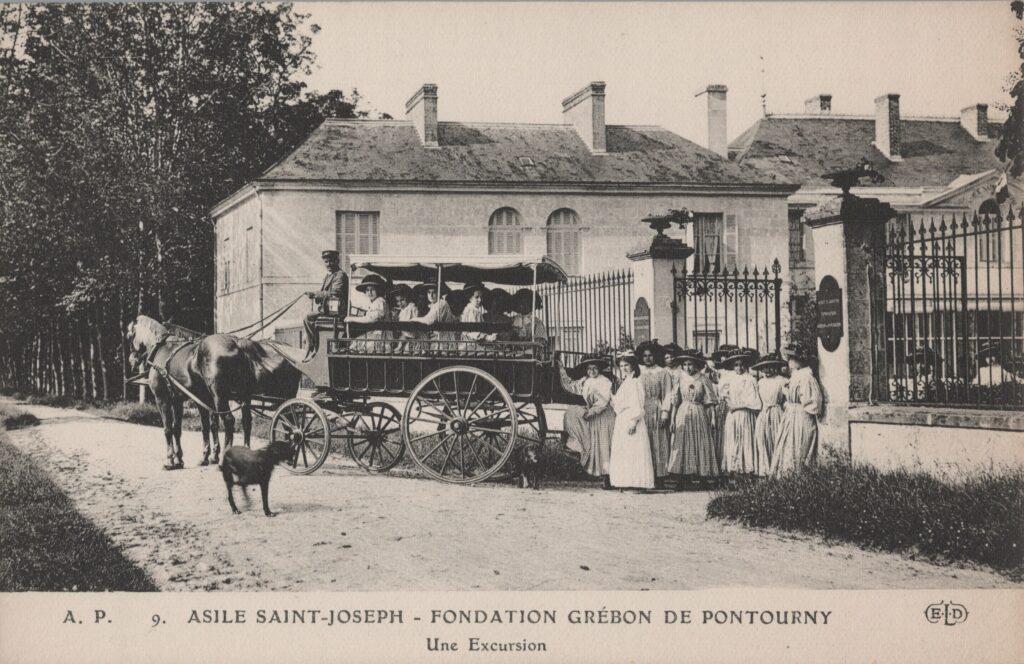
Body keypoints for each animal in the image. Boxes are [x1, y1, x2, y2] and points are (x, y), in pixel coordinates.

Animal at [127, 315, 299, 467]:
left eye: (129, 335)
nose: (132, 359)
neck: (163, 349)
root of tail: (237, 344)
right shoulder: (181, 400)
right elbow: (186, 428)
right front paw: (182, 459)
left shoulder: (162, 399)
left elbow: (169, 429)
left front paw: (170, 461)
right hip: (244, 395)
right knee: (249, 421)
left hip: (220, 396)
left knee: (230, 421)